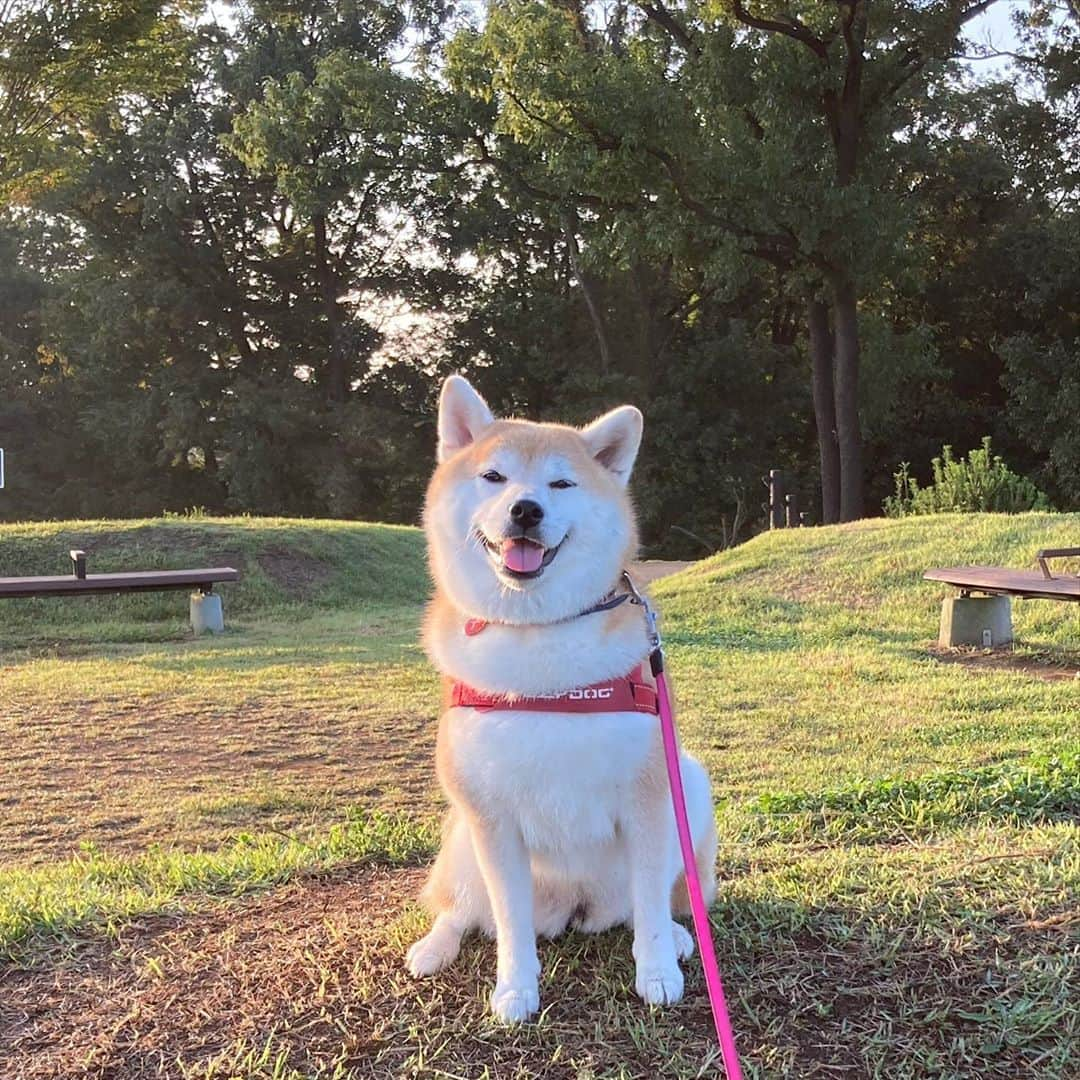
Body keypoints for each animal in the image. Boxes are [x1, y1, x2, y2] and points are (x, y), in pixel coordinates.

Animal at [406, 378, 717, 1019]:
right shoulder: (492, 818)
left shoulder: (650, 795)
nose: (526, 508)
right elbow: (508, 922)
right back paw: (434, 947)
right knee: (458, 909)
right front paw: (516, 988)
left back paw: (680, 936)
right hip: (461, 834)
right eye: (494, 476)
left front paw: (657, 971)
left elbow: (651, 905)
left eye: (561, 484)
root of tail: (576, 909)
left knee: (655, 901)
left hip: (690, 786)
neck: (539, 643)